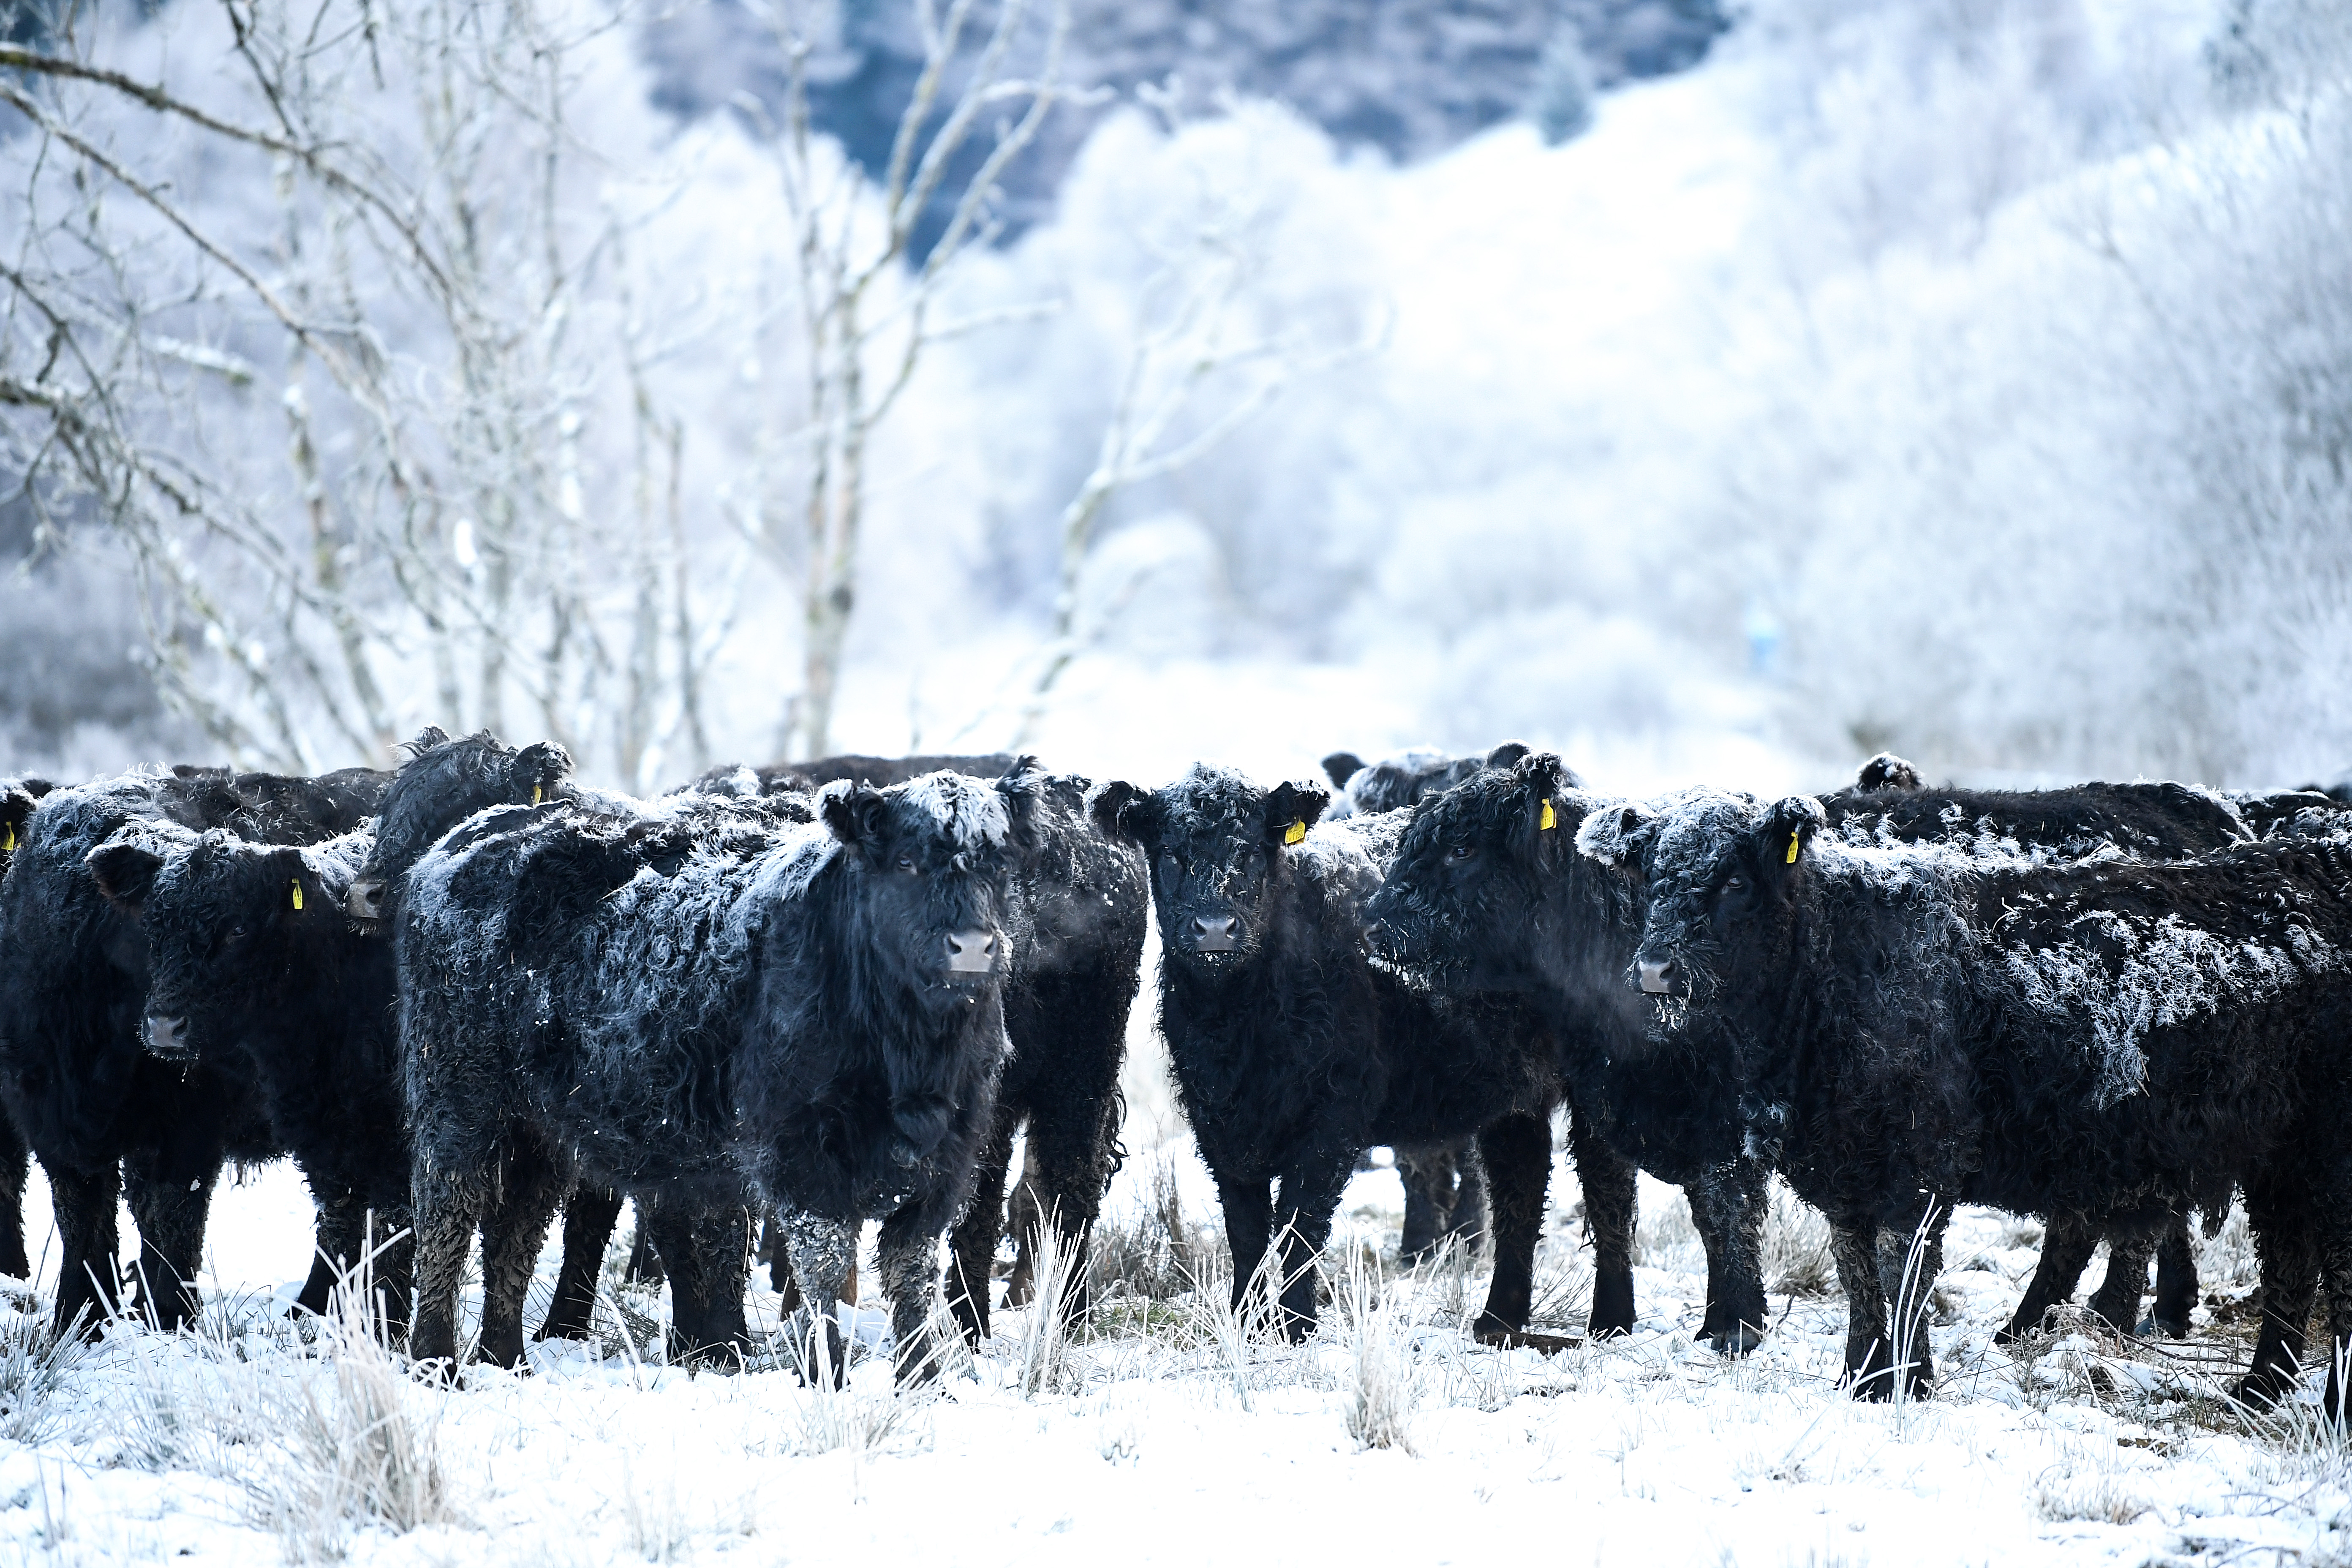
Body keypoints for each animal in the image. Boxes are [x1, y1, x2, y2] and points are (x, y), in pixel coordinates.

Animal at [0, 762, 390, 1335]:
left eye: (237, 929)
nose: (165, 1025)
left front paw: (168, 1316)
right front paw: (82, 1318)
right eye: (152, 924)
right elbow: (83, 1217)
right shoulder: (46, 1110)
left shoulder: (192, 1118)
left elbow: (174, 1215)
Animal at [402, 766, 1040, 1382]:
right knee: (446, 1223)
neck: (912, 1056)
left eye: (999, 863)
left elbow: (912, 1279)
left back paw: (506, 1359)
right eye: (906, 862)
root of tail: (473, 834)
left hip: (537, 1131)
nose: (972, 946)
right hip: (458, 1105)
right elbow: (822, 1270)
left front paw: (924, 1381)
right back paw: (436, 1363)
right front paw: (827, 1375)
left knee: (515, 1233)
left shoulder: (943, 1164)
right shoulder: (803, 1161)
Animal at [1091, 766, 1628, 1345]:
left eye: (1253, 851)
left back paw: (1612, 1320)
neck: (1238, 1026)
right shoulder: (1217, 1122)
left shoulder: (1332, 1120)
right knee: (1521, 1189)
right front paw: (1246, 1321)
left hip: (1603, 1079)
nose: (1216, 928)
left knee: (1607, 1188)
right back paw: (1497, 1321)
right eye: (1170, 852)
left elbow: (1300, 1225)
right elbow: (1246, 1231)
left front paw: (1296, 1326)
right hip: (1516, 1090)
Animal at [1364, 752, 1769, 1354]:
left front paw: (1630, 1320)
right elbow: (1520, 1194)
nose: (1371, 925)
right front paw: (1501, 1317)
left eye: (1463, 849)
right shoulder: (1527, 1092)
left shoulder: (1655, 1095)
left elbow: (1642, 1199)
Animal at [1599, 789, 2352, 1420]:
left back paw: (2327, 1406)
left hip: (2323, 1157)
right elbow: (1856, 1274)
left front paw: (1909, 1383)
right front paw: (1861, 1379)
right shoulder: (1849, 1169)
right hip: (2282, 1161)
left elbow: (1903, 1273)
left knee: (2330, 1270)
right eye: (1651, 878)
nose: (1654, 970)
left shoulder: (1917, 1169)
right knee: (2290, 1263)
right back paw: (2259, 1391)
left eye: (1733, 882)